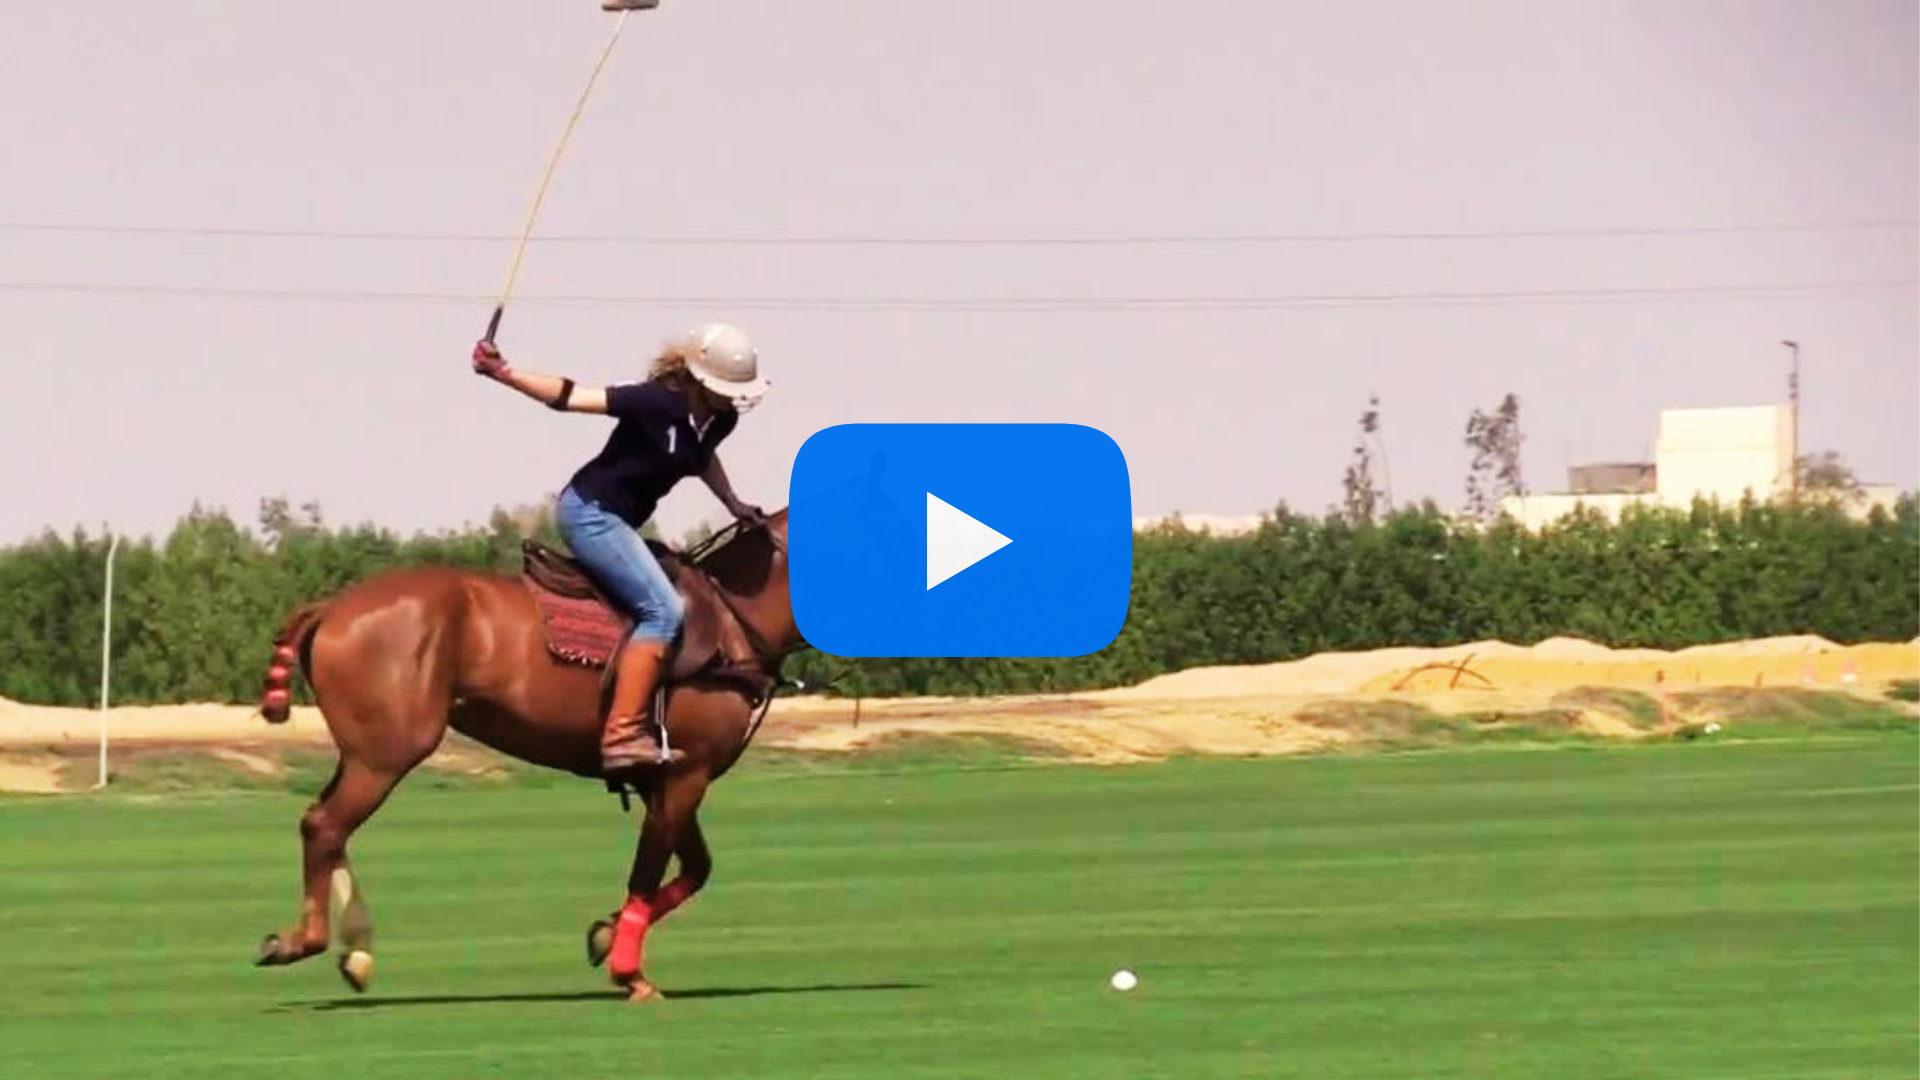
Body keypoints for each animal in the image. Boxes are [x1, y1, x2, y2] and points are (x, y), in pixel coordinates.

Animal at [248, 507, 804, 1003]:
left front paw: (605, 935)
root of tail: (328, 608)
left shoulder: (660, 779)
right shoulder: (685, 774)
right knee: (325, 825)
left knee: (324, 823)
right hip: (387, 753)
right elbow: (647, 872)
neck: (735, 624)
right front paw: (629, 973)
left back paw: (356, 954)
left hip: (363, 751)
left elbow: (694, 868)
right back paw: (304, 942)